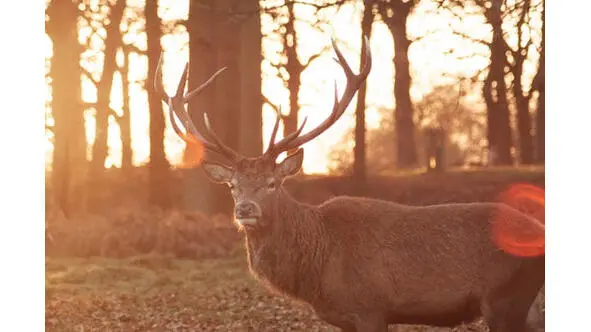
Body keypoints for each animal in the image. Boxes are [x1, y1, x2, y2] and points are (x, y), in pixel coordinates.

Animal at [156, 37, 544, 332]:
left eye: (272, 183)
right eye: (233, 186)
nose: (245, 209)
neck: (317, 268)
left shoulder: (370, 307)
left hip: (504, 298)